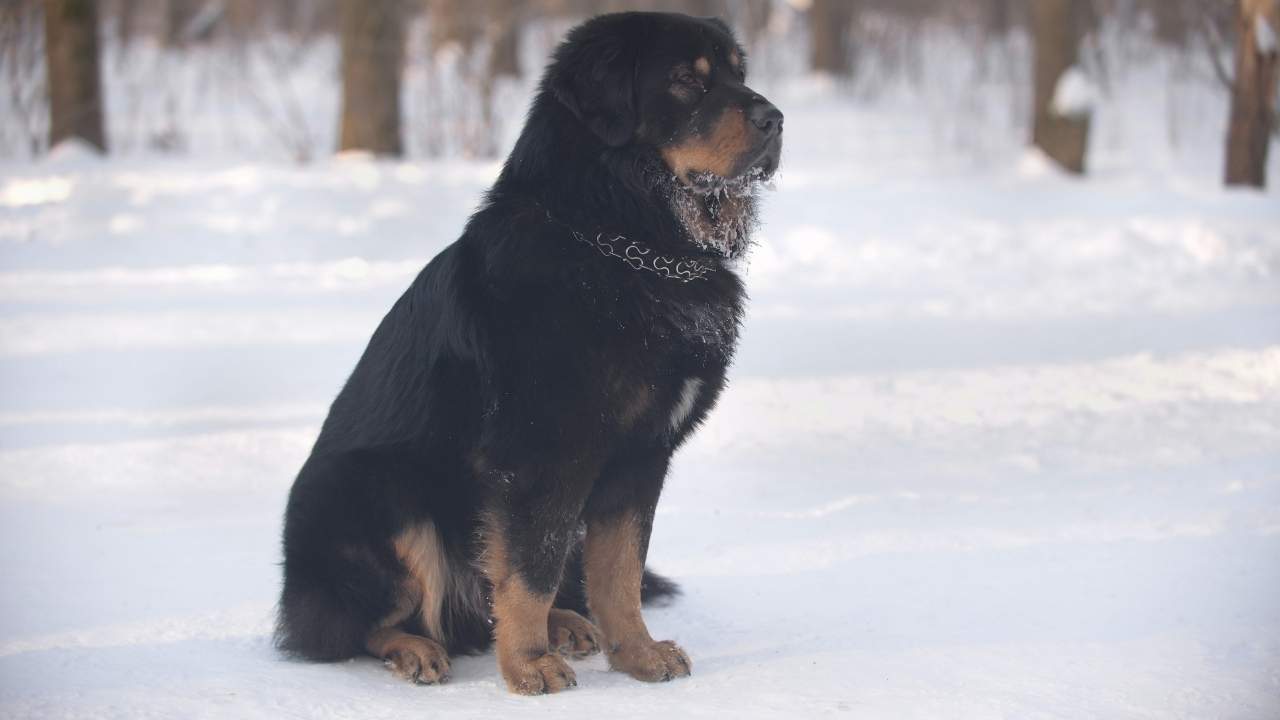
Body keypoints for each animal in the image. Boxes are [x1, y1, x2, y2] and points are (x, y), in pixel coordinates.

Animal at [272, 11, 778, 691]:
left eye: (738, 74)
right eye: (683, 80)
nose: (775, 118)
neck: (622, 241)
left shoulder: (641, 456)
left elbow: (618, 571)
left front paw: (638, 654)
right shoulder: (541, 452)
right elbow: (528, 569)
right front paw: (529, 665)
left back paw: (566, 623)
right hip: (381, 493)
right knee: (367, 624)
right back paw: (416, 649)